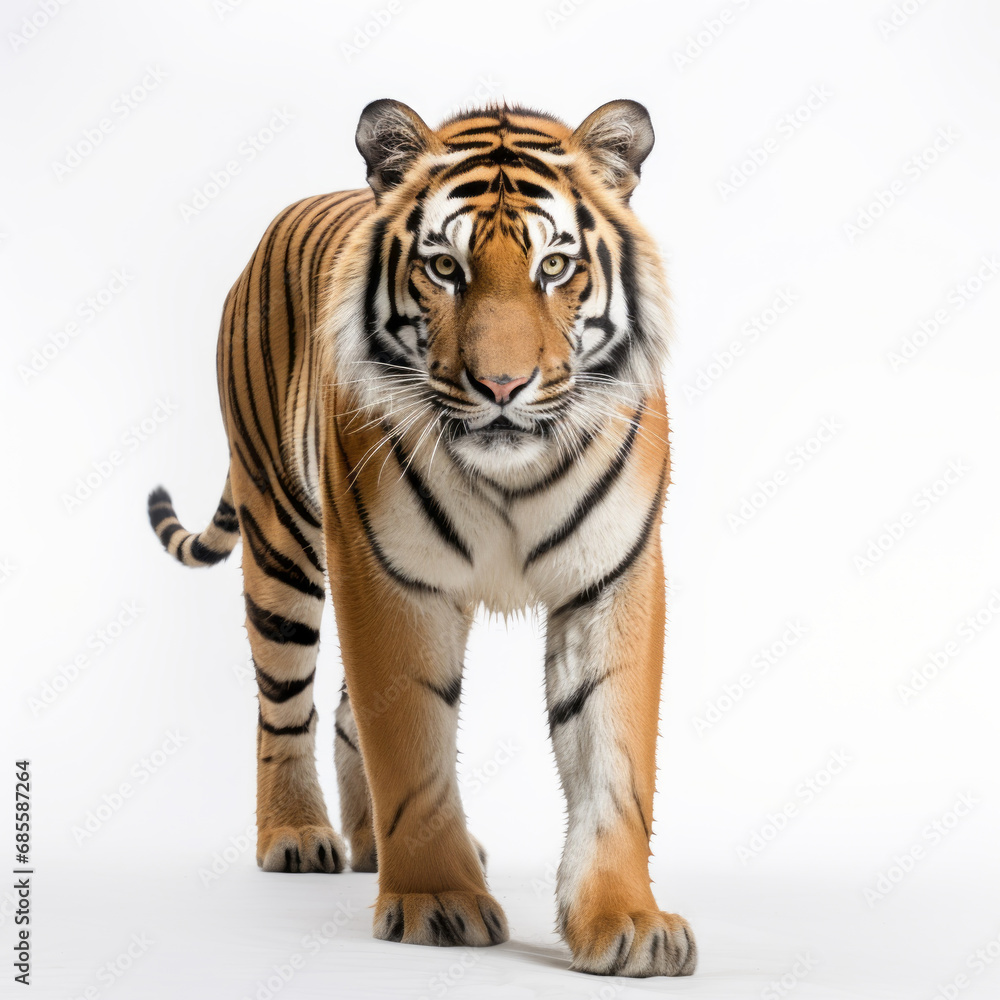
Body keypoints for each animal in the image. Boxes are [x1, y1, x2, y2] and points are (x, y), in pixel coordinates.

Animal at [147, 98, 696, 978]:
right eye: (445, 269)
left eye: (554, 267)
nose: (502, 386)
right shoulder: (388, 576)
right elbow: (408, 741)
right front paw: (437, 900)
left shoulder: (611, 575)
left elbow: (615, 757)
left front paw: (628, 922)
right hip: (281, 540)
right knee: (284, 706)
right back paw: (297, 835)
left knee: (343, 714)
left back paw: (370, 843)